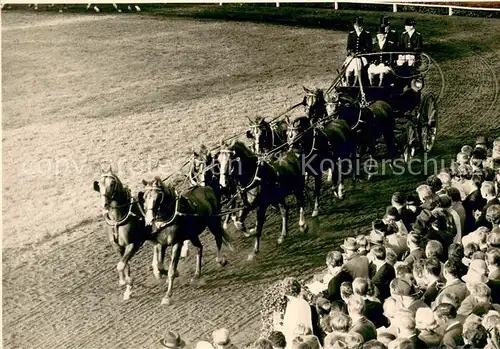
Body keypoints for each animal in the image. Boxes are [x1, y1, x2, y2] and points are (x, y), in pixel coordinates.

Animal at [93, 169, 149, 300]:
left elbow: (120, 265)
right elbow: (125, 265)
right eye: (100, 184)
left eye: (112, 183)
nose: (104, 204)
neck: (117, 220)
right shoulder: (118, 247)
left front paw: (126, 281)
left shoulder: (133, 244)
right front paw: (128, 287)